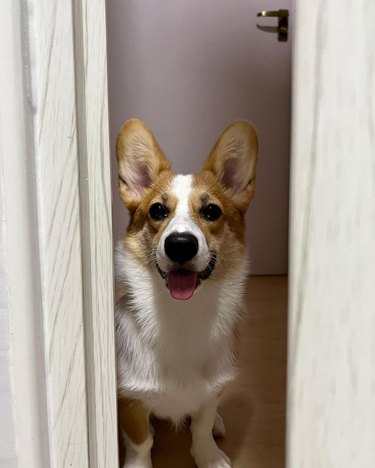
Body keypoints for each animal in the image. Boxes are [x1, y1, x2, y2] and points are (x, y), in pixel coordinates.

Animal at [116, 118, 260, 468]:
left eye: (211, 211)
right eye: (157, 210)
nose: (180, 244)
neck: (180, 316)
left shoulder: (211, 390)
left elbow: (202, 424)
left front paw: (209, 457)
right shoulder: (130, 398)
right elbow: (141, 441)